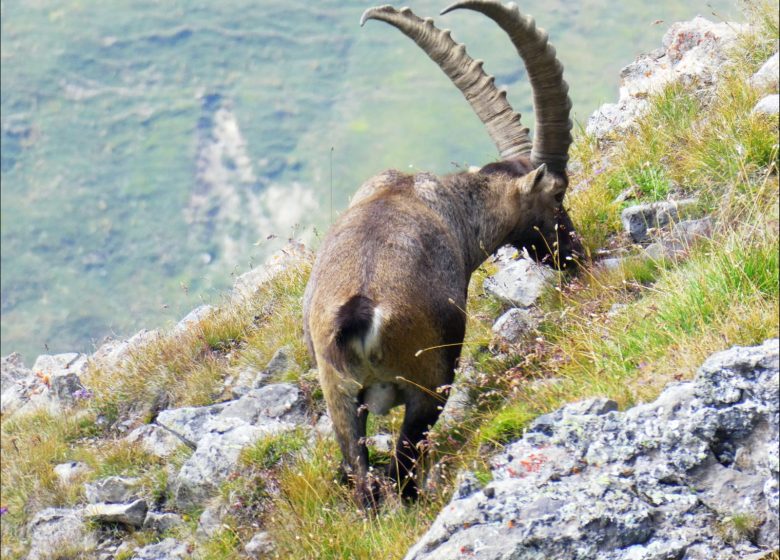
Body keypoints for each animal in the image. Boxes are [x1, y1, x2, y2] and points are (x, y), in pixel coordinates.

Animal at [302, 0, 580, 506]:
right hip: (428, 381)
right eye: (556, 196)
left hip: (339, 395)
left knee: (363, 479)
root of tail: (360, 312)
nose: (574, 253)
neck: (447, 203)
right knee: (402, 467)